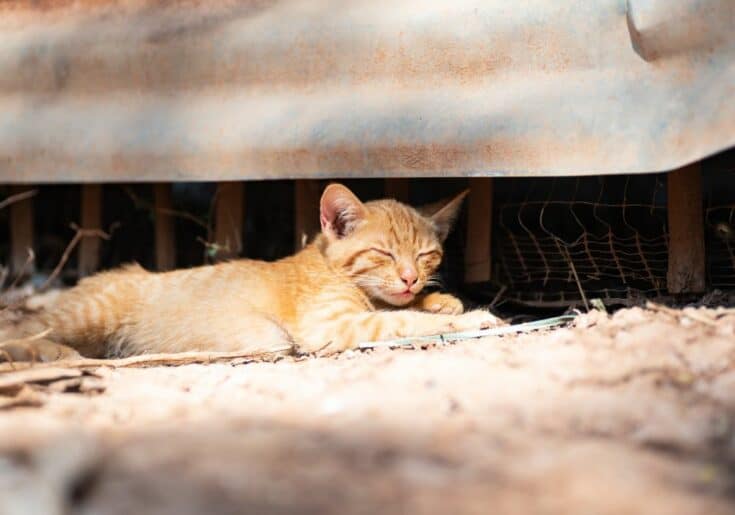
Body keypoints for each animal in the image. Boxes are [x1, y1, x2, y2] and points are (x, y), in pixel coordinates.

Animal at [0, 183, 504, 360]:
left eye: (425, 256)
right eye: (382, 253)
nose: (410, 278)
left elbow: (403, 309)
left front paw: (440, 300)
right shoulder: (329, 325)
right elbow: (399, 319)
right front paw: (472, 316)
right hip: (86, 318)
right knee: (22, 331)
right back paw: (55, 355)